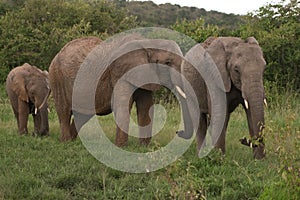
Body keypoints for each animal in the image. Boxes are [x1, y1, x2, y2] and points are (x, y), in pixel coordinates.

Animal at [48, 35, 185, 145]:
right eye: (167, 62)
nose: (178, 132)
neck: (147, 43)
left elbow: (146, 107)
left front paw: (143, 147)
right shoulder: (120, 73)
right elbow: (122, 105)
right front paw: (121, 146)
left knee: (82, 115)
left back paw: (72, 141)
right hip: (57, 77)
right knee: (64, 111)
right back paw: (66, 142)